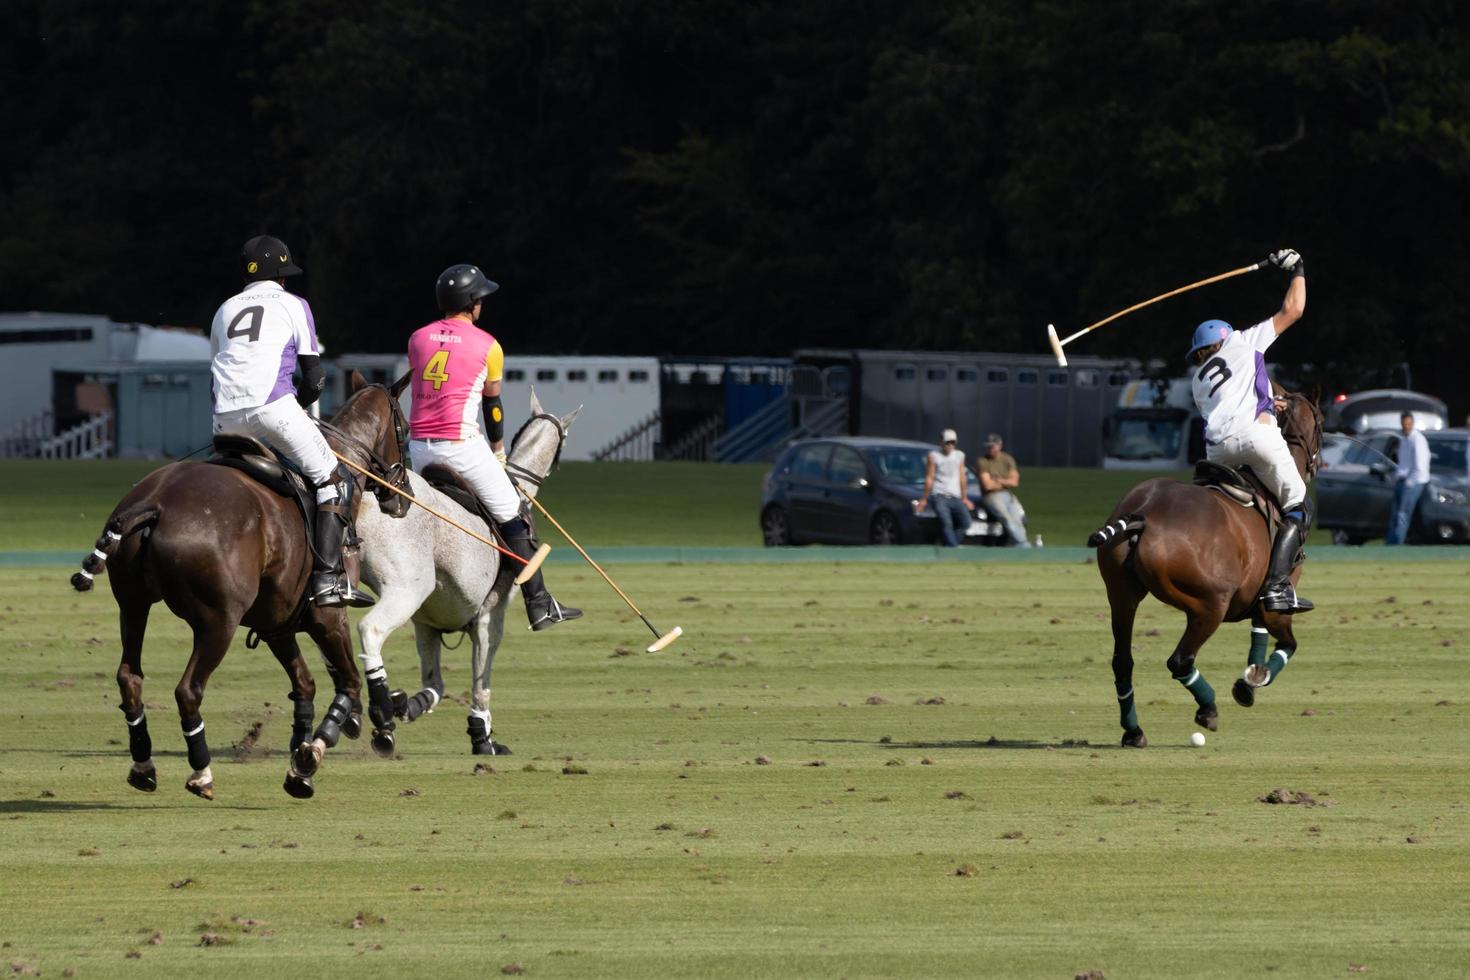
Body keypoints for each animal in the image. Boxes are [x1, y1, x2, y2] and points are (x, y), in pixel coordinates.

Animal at [70, 373, 408, 799]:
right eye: (405, 429)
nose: (404, 497)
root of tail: (154, 504)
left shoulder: (277, 624)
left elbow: (306, 685)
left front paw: (304, 750)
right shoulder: (328, 615)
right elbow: (348, 682)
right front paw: (313, 756)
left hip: (132, 605)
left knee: (129, 677)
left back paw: (144, 765)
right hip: (219, 621)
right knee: (188, 690)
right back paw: (201, 772)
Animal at [352, 390, 576, 758]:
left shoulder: (426, 624)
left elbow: (434, 685)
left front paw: (407, 705)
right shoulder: (489, 617)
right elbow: (481, 683)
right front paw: (482, 738)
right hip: (407, 589)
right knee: (370, 629)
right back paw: (380, 714)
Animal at [1087, 387, 1328, 746]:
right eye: (1322, 422)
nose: (1317, 464)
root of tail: (1143, 514)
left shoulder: (1258, 598)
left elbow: (1258, 633)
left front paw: (1251, 678)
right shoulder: (1275, 602)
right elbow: (1288, 643)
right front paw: (1251, 683)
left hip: (1122, 596)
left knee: (1123, 662)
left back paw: (1134, 731)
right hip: (1209, 604)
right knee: (1179, 660)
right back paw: (1208, 709)